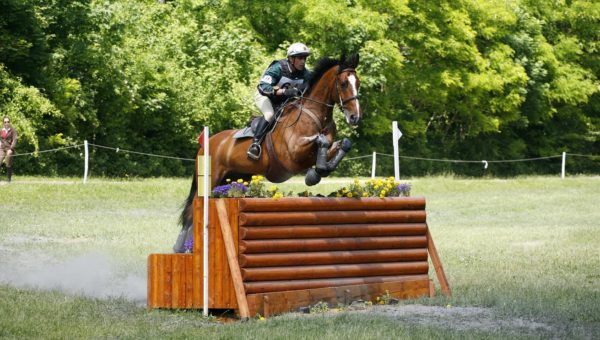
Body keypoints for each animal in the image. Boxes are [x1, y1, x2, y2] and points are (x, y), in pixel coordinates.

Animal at [173, 52, 360, 250]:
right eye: (343, 84)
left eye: (358, 83)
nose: (355, 117)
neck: (316, 115)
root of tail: (207, 142)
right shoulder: (292, 156)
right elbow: (320, 141)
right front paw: (315, 174)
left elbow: (342, 144)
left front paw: (321, 170)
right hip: (210, 179)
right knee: (193, 210)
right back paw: (181, 248)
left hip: (236, 178)